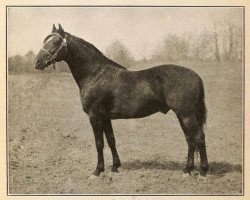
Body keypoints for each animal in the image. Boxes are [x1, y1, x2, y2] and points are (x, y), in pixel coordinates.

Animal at [34, 24, 208, 177]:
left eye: (55, 42)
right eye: (45, 40)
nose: (37, 62)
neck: (95, 74)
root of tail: (196, 75)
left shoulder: (94, 116)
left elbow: (99, 143)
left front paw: (97, 171)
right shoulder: (105, 117)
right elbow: (111, 140)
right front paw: (115, 167)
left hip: (186, 114)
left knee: (199, 136)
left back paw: (203, 171)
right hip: (182, 115)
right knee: (190, 139)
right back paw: (187, 170)